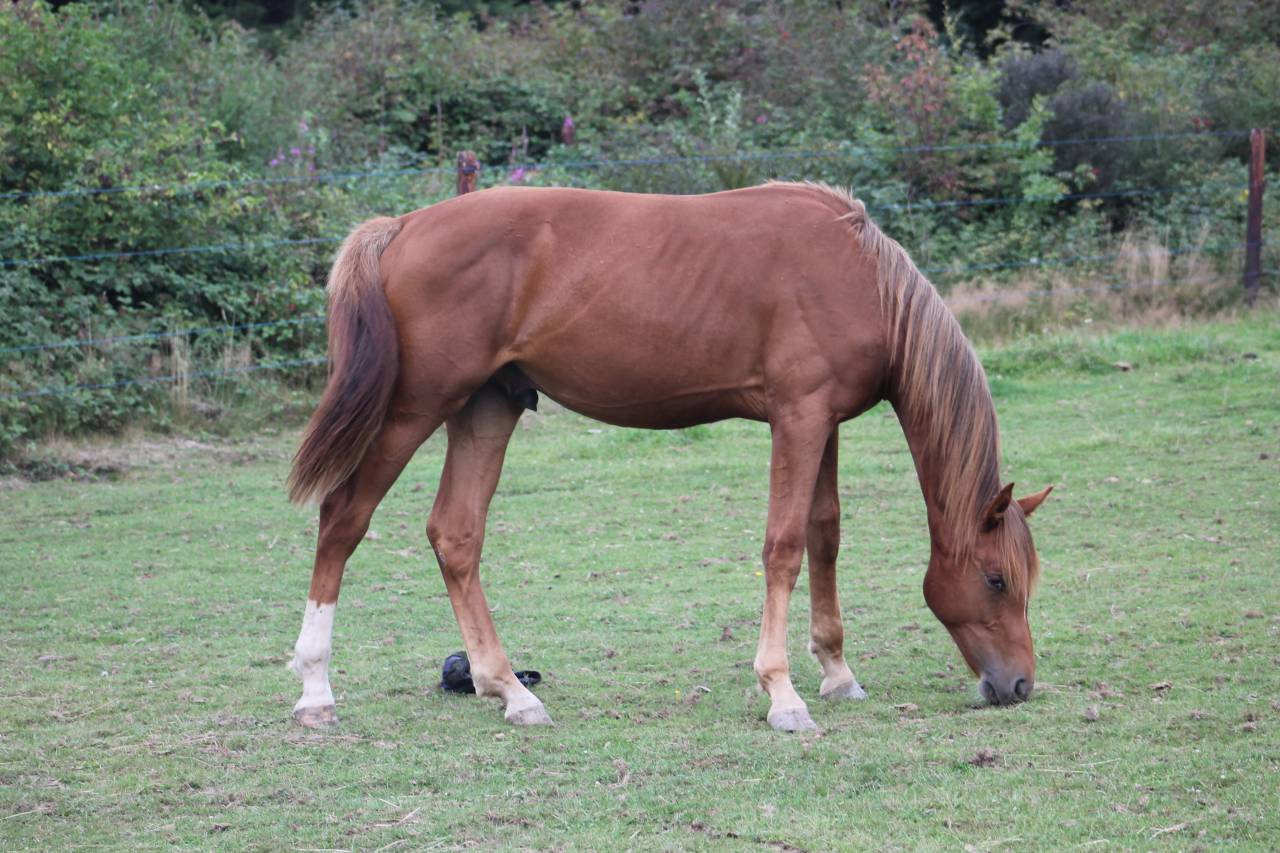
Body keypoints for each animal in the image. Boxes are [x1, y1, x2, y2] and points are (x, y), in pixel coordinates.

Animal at [285, 181, 1052, 732]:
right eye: (995, 579)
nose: (1018, 684)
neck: (860, 278)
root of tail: (402, 226)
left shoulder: (825, 422)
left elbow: (824, 534)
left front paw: (837, 672)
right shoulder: (798, 417)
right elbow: (783, 547)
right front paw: (784, 695)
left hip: (486, 407)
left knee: (455, 535)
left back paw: (508, 691)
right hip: (414, 408)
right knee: (343, 517)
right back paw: (316, 690)